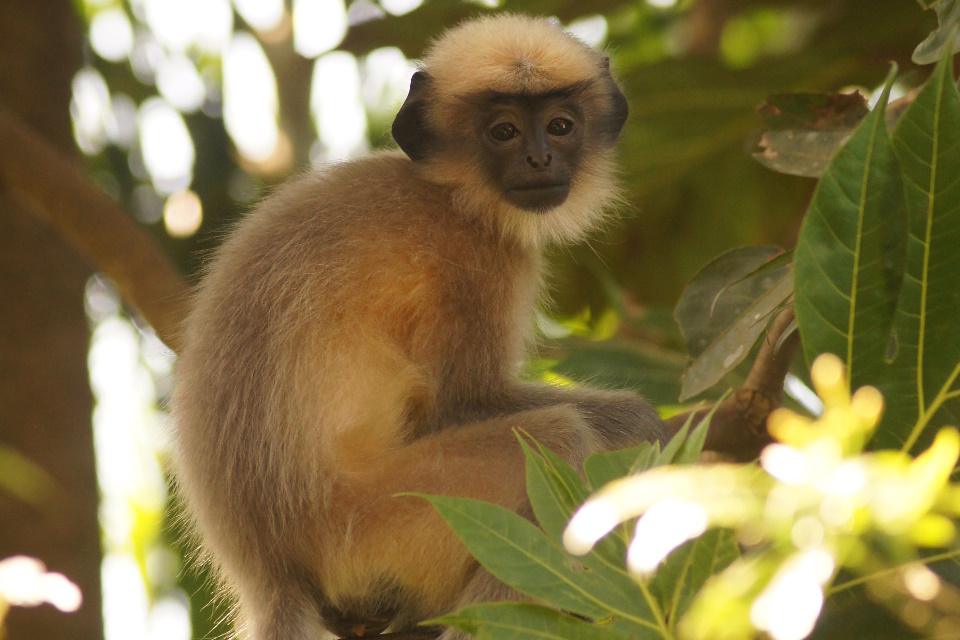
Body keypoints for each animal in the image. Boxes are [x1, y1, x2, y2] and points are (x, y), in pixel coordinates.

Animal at [172, 14, 666, 640]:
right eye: (503, 132)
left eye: (560, 126)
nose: (539, 161)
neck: (447, 192)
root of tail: (266, 570)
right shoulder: (476, 261)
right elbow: (459, 403)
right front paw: (644, 423)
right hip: (373, 520)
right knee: (559, 437)